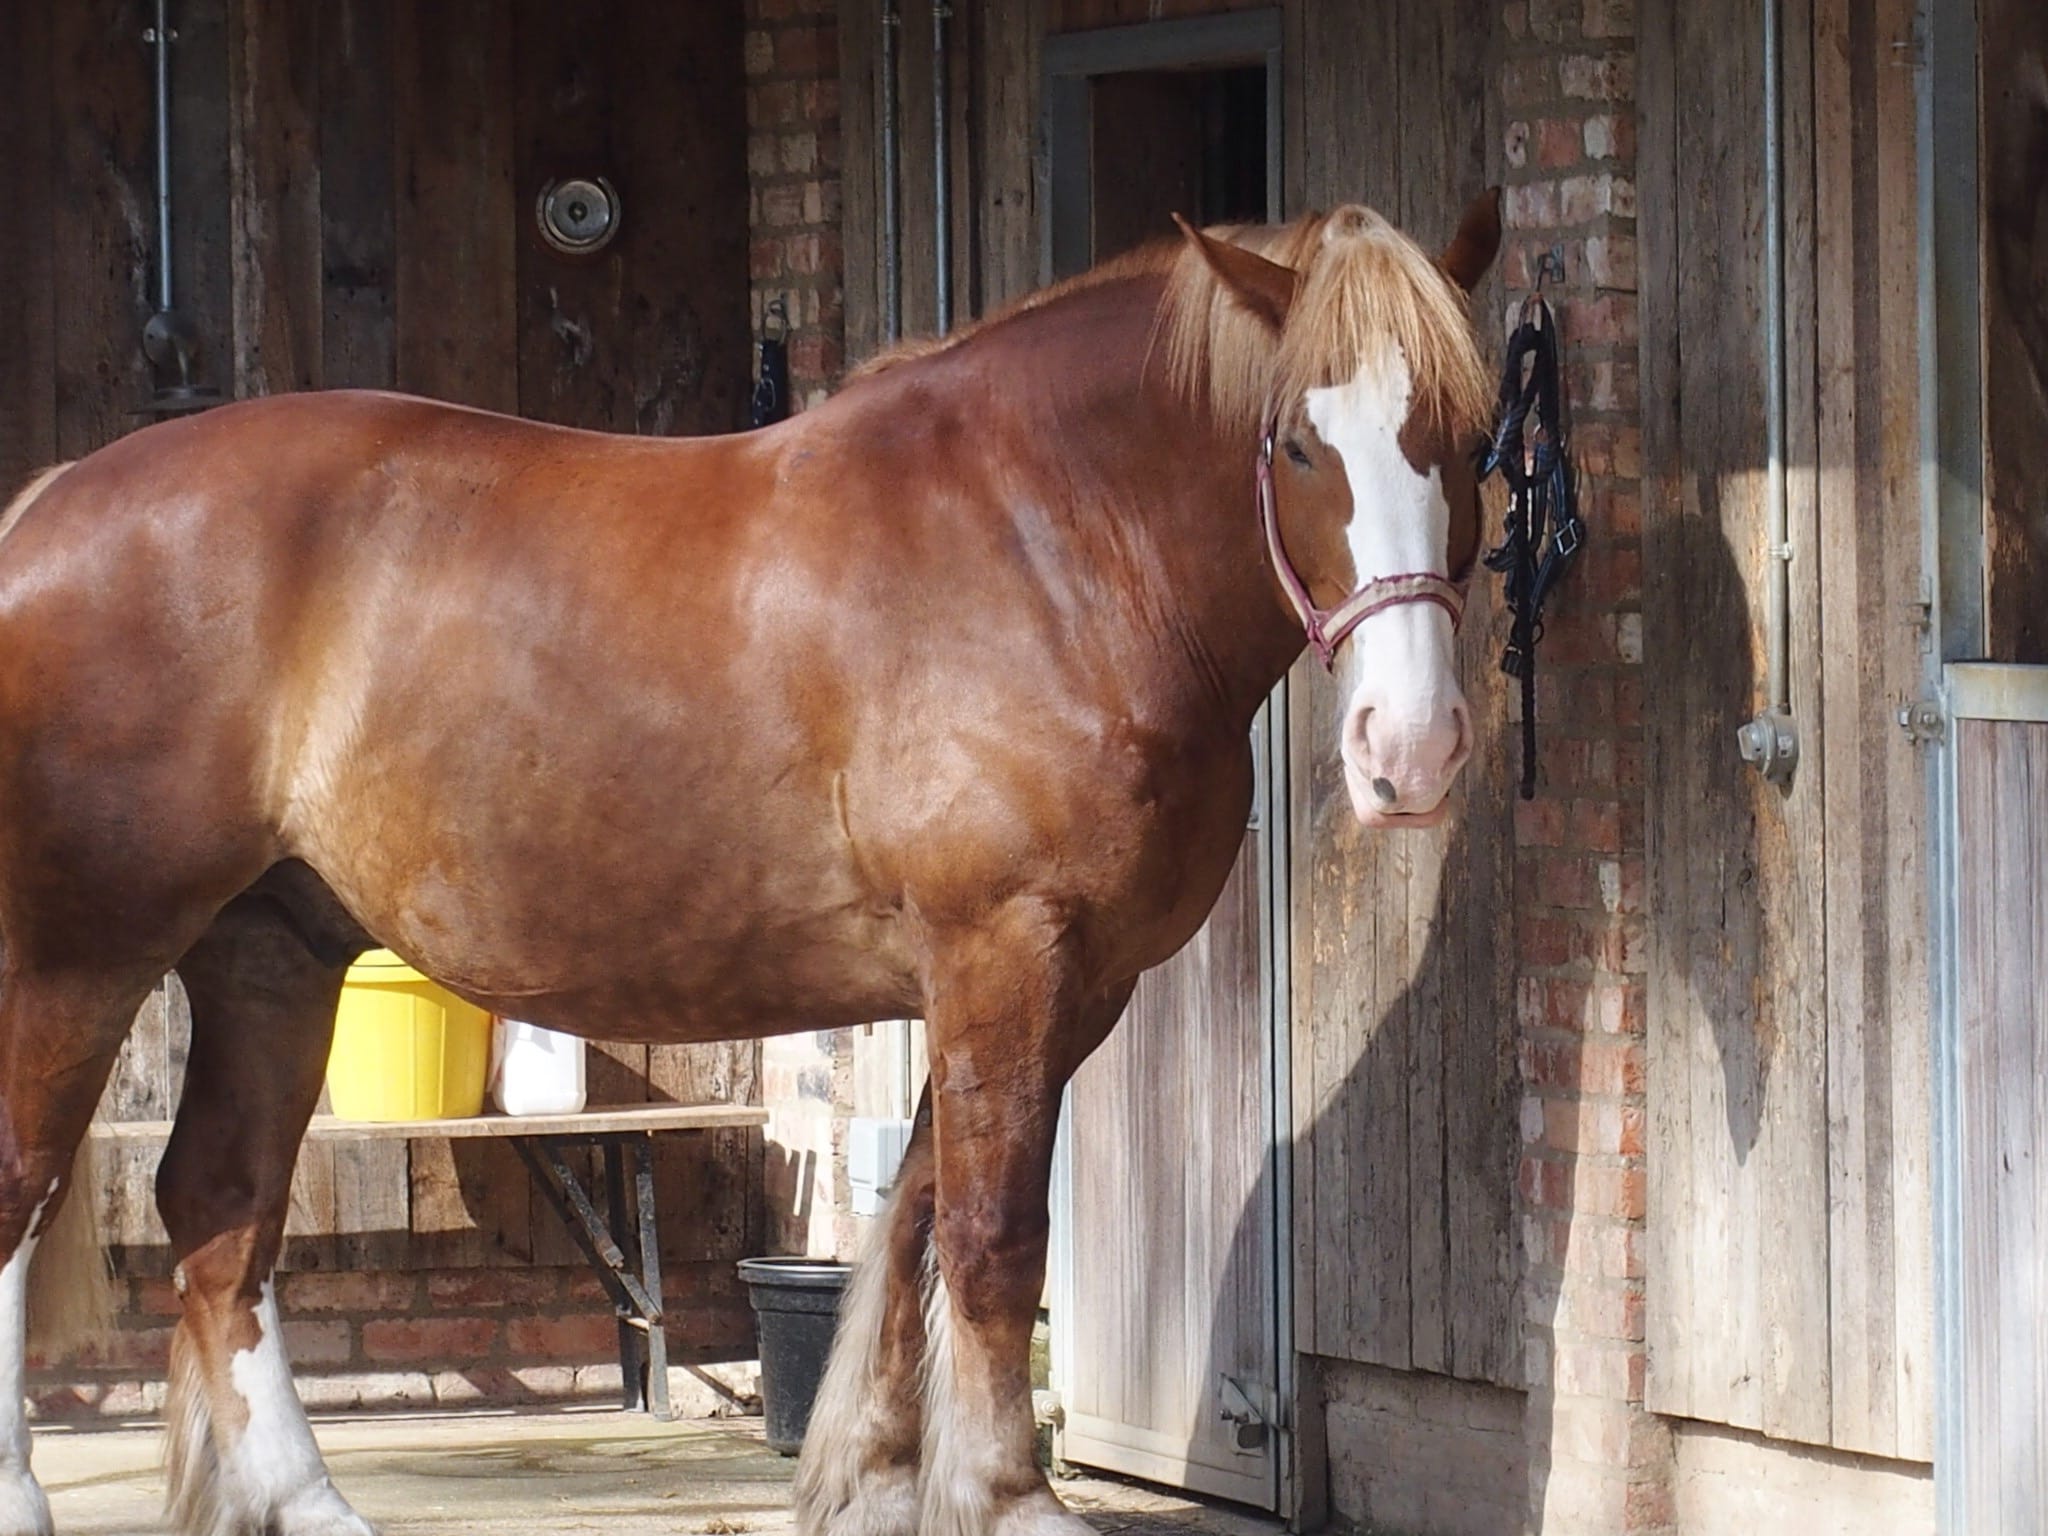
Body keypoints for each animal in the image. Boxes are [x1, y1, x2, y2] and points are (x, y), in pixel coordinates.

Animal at [0, 192, 1499, 1536]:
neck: (1046, 539)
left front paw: (881, 1485)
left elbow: (916, 1218)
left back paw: (303, 1502)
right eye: (1296, 445)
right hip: (83, 957)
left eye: (1473, 438)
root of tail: (51, 502)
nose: (1411, 750)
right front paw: (1007, 1499)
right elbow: (993, 1238)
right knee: (34, 1193)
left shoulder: (1056, 984)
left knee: (221, 1213)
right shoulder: (1005, 949)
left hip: (267, 948)